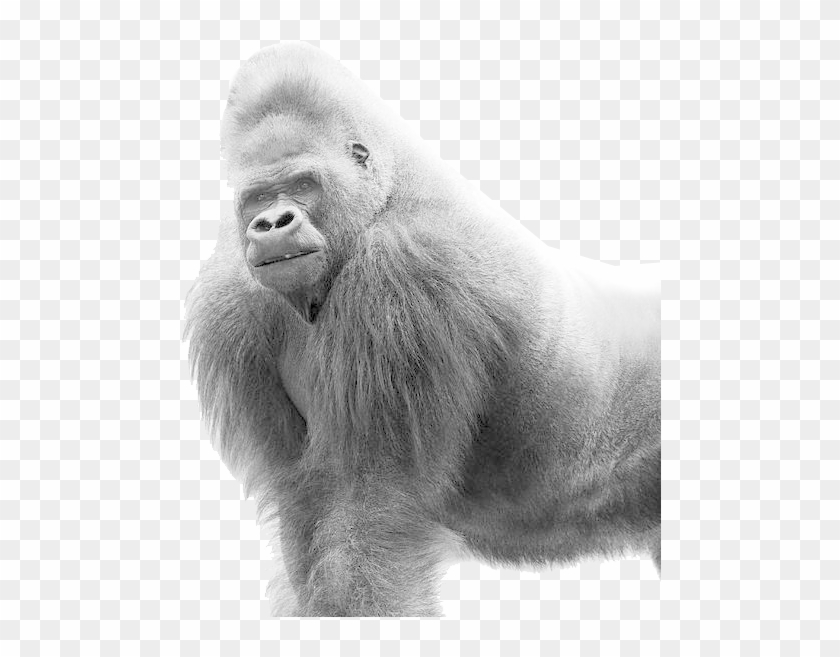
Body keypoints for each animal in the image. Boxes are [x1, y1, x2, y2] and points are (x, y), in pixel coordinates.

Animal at [184, 42, 661, 617]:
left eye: (303, 184)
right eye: (257, 197)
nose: (273, 224)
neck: (384, 197)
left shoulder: (403, 274)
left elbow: (371, 513)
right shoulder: (231, 305)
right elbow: (305, 510)